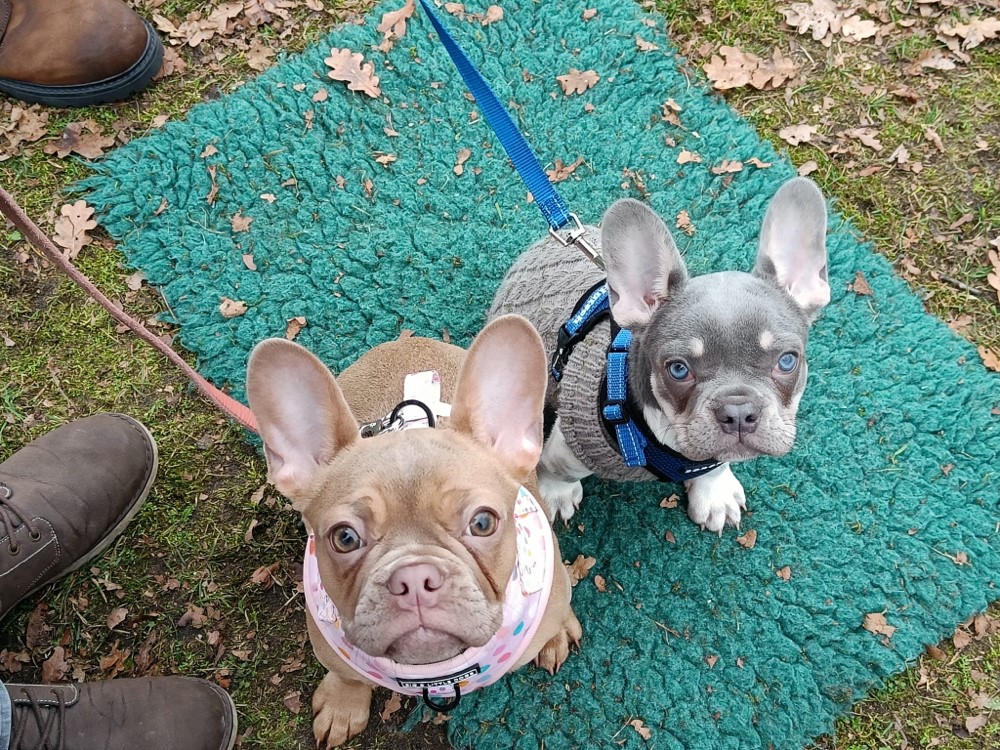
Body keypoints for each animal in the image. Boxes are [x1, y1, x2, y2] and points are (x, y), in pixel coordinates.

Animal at [245, 314, 584, 748]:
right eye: (344, 537)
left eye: (482, 522)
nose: (415, 578)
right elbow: (345, 673)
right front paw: (343, 703)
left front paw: (556, 632)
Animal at [488, 177, 832, 536]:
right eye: (678, 369)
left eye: (787, 360)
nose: (738, 411)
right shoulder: (569, 443)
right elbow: (558, 470)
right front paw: (554, 494)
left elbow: (715, 463)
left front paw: (714, 490)